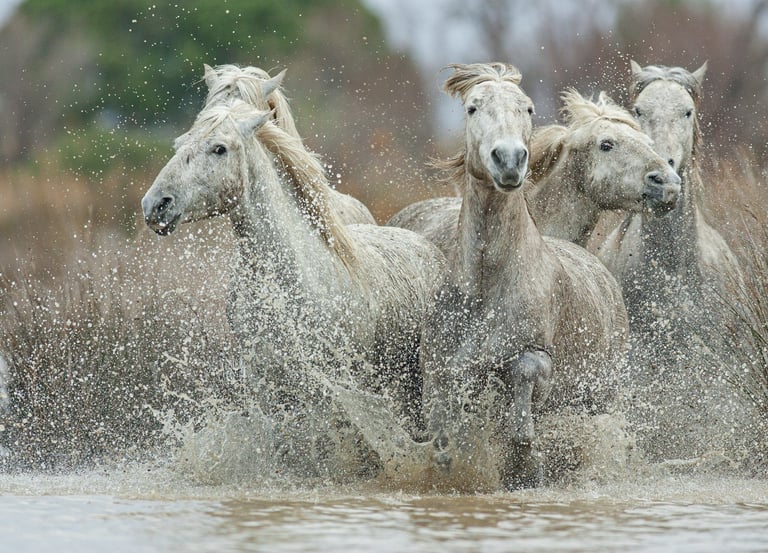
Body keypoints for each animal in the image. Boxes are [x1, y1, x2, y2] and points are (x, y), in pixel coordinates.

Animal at [141, 100, 446, 458]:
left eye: (219, 148)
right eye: (178, 144)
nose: (156, 206)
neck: (286, 282)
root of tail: (427, 246)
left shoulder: (331, 385)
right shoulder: (264, 383)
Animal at [420, 63, 629, 490]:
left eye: (528, 109)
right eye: (472, 107)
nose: (510, 159)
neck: (486, 284)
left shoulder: (538, 356)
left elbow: (524, 374)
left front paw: (526, 457)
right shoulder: (438, 364)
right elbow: (443, 422)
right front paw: (447, 456)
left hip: (604, 393)